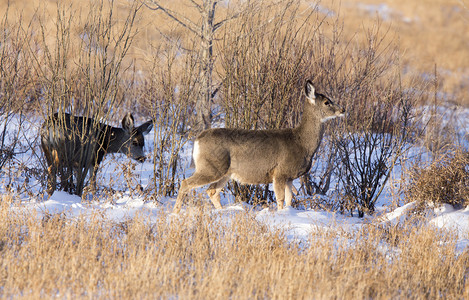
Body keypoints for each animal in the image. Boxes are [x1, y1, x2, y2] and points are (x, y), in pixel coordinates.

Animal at [172, 79, 344, 213]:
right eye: (327, 102)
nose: (342, 109)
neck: (301, 142)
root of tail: (197, 140)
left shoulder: (290, 177)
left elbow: (289, 200)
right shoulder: (279, 172)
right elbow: (280, 200)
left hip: (225, 171)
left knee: (212, 190)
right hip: (211, 167)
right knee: (186, 183)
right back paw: (175, 213)